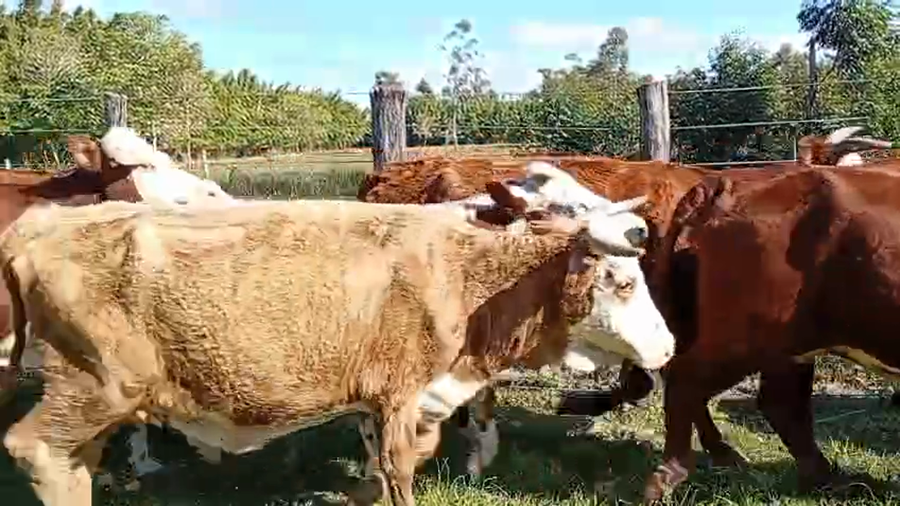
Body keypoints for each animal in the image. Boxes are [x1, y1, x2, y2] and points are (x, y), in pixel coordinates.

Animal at [0, 190, 674, 506]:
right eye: (622, 281)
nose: (667, 347)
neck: (464, 277)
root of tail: (42, 224)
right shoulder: (400, 396)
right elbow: (399, 473)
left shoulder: (384, 402)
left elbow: (386, 464)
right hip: (95, 386)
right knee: (35, 450)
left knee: (72, 460)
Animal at [639, 165, 900, 502]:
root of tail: (728, 181)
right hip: (746, 337)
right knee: (686, 383)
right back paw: (667, 479)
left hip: (787, 346)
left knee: (781, 405)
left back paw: (829, 479)